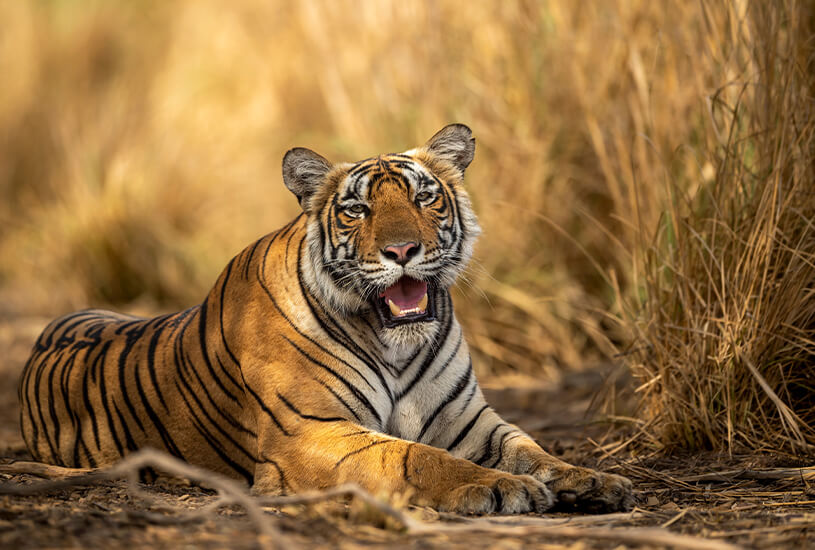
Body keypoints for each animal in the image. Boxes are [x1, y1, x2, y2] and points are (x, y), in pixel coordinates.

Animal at [17, 125, 632, 516]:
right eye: (357, 209)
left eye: (425, 198)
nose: (402, 250)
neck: (395, 342)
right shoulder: (310, 431)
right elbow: (415, 456)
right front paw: (502, 488)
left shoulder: (466, 419)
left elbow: (529, 447)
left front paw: (593, 479)